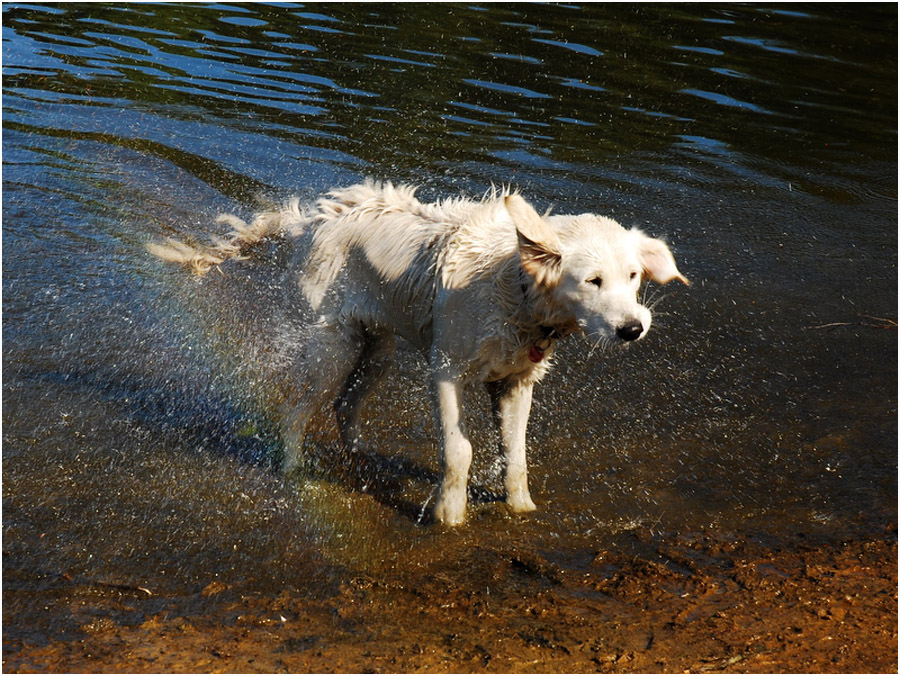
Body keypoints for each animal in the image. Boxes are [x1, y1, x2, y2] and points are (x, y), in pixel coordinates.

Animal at [148, 181, 684, 528]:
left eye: (633, 276)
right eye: (592, 281)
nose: (633, 328)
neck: (515, 290)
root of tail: (312, 220)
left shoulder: (514, 383)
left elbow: (516, 455)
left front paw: (522, 508)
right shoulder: (445, 371)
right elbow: (459, 450)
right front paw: (450, 514)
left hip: (377, 349)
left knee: (345, 405)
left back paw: (363, 458)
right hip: (333, 346)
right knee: (297, 410)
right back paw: (294, 470)